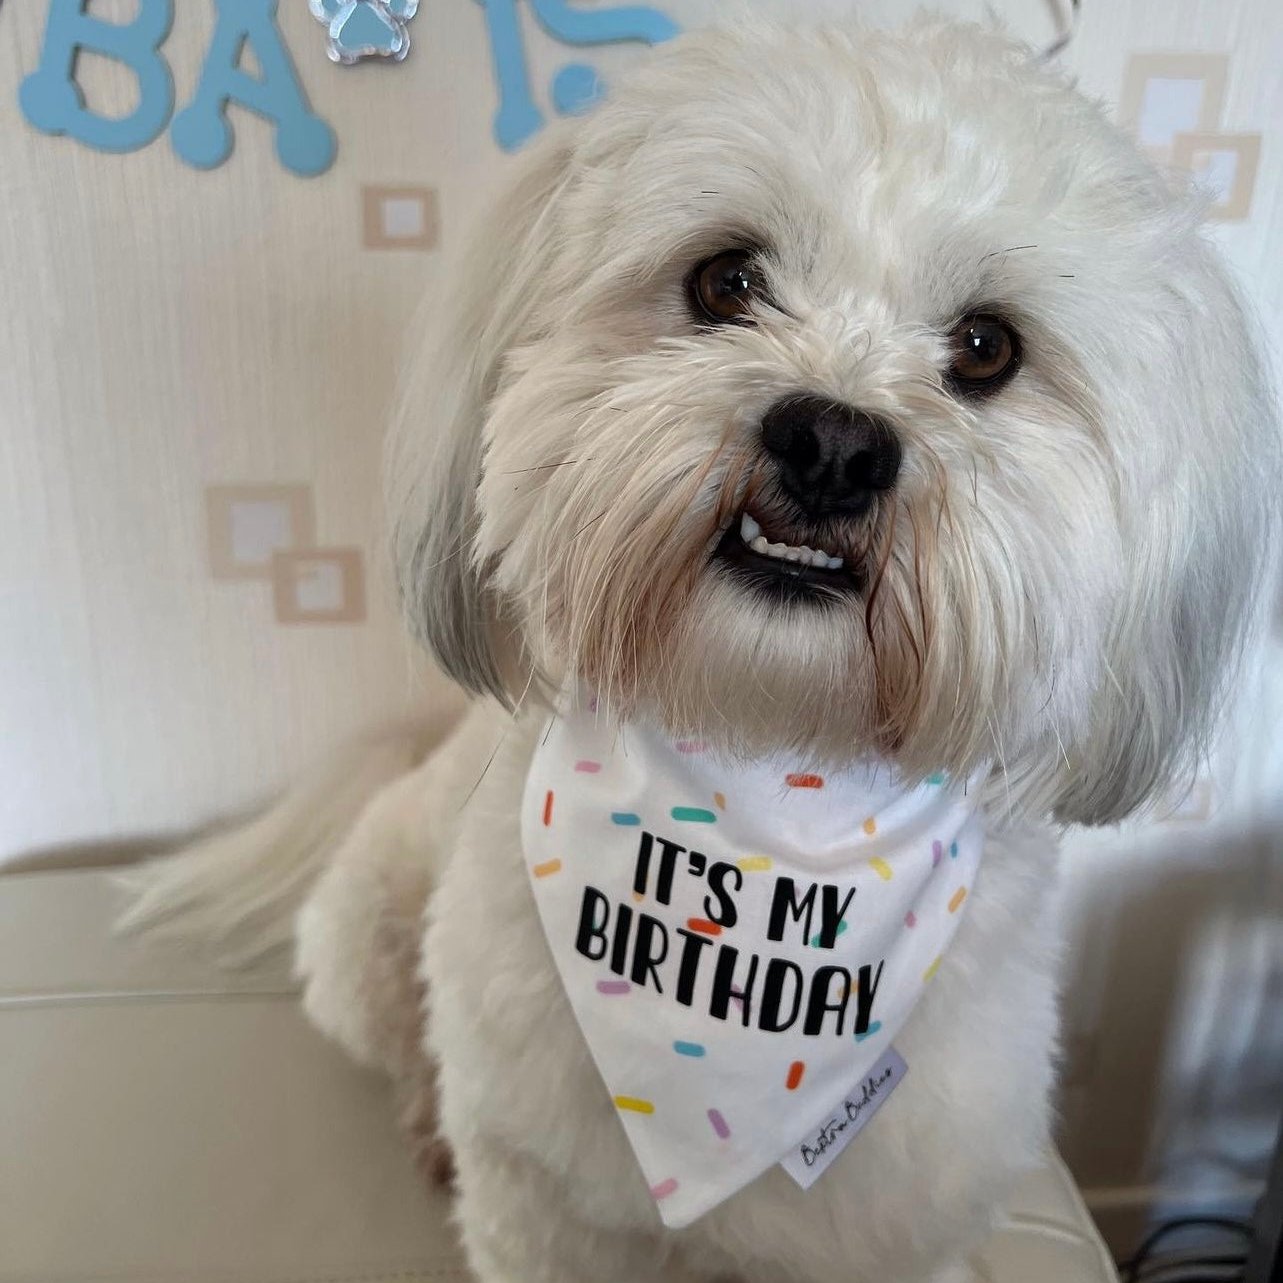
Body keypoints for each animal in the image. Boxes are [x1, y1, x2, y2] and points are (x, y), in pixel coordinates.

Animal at [127, 12, 1272, 1283]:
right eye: (725, 279)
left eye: (985, 347)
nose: (832, 442)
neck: (767, 764)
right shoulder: (542, 1203)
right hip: (368, 937)